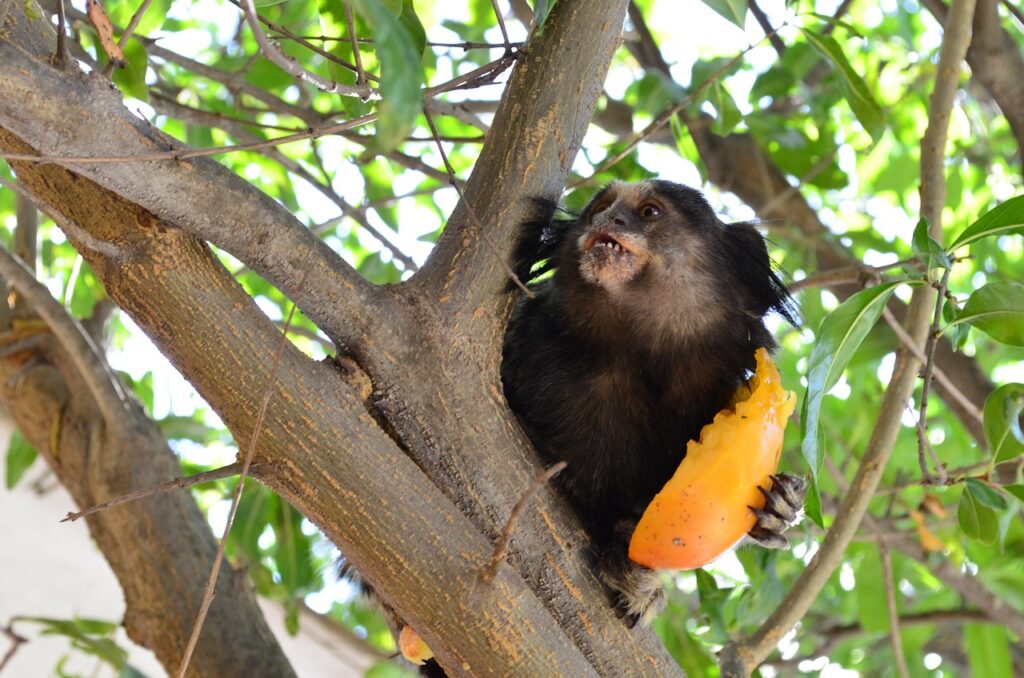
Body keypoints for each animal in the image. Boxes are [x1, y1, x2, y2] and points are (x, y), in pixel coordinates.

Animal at [499, 180, 802, 626]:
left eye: (649, 212)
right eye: (602, 207)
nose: (609, 219)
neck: (637, 357)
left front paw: (777, 510)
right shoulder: (527, 341)